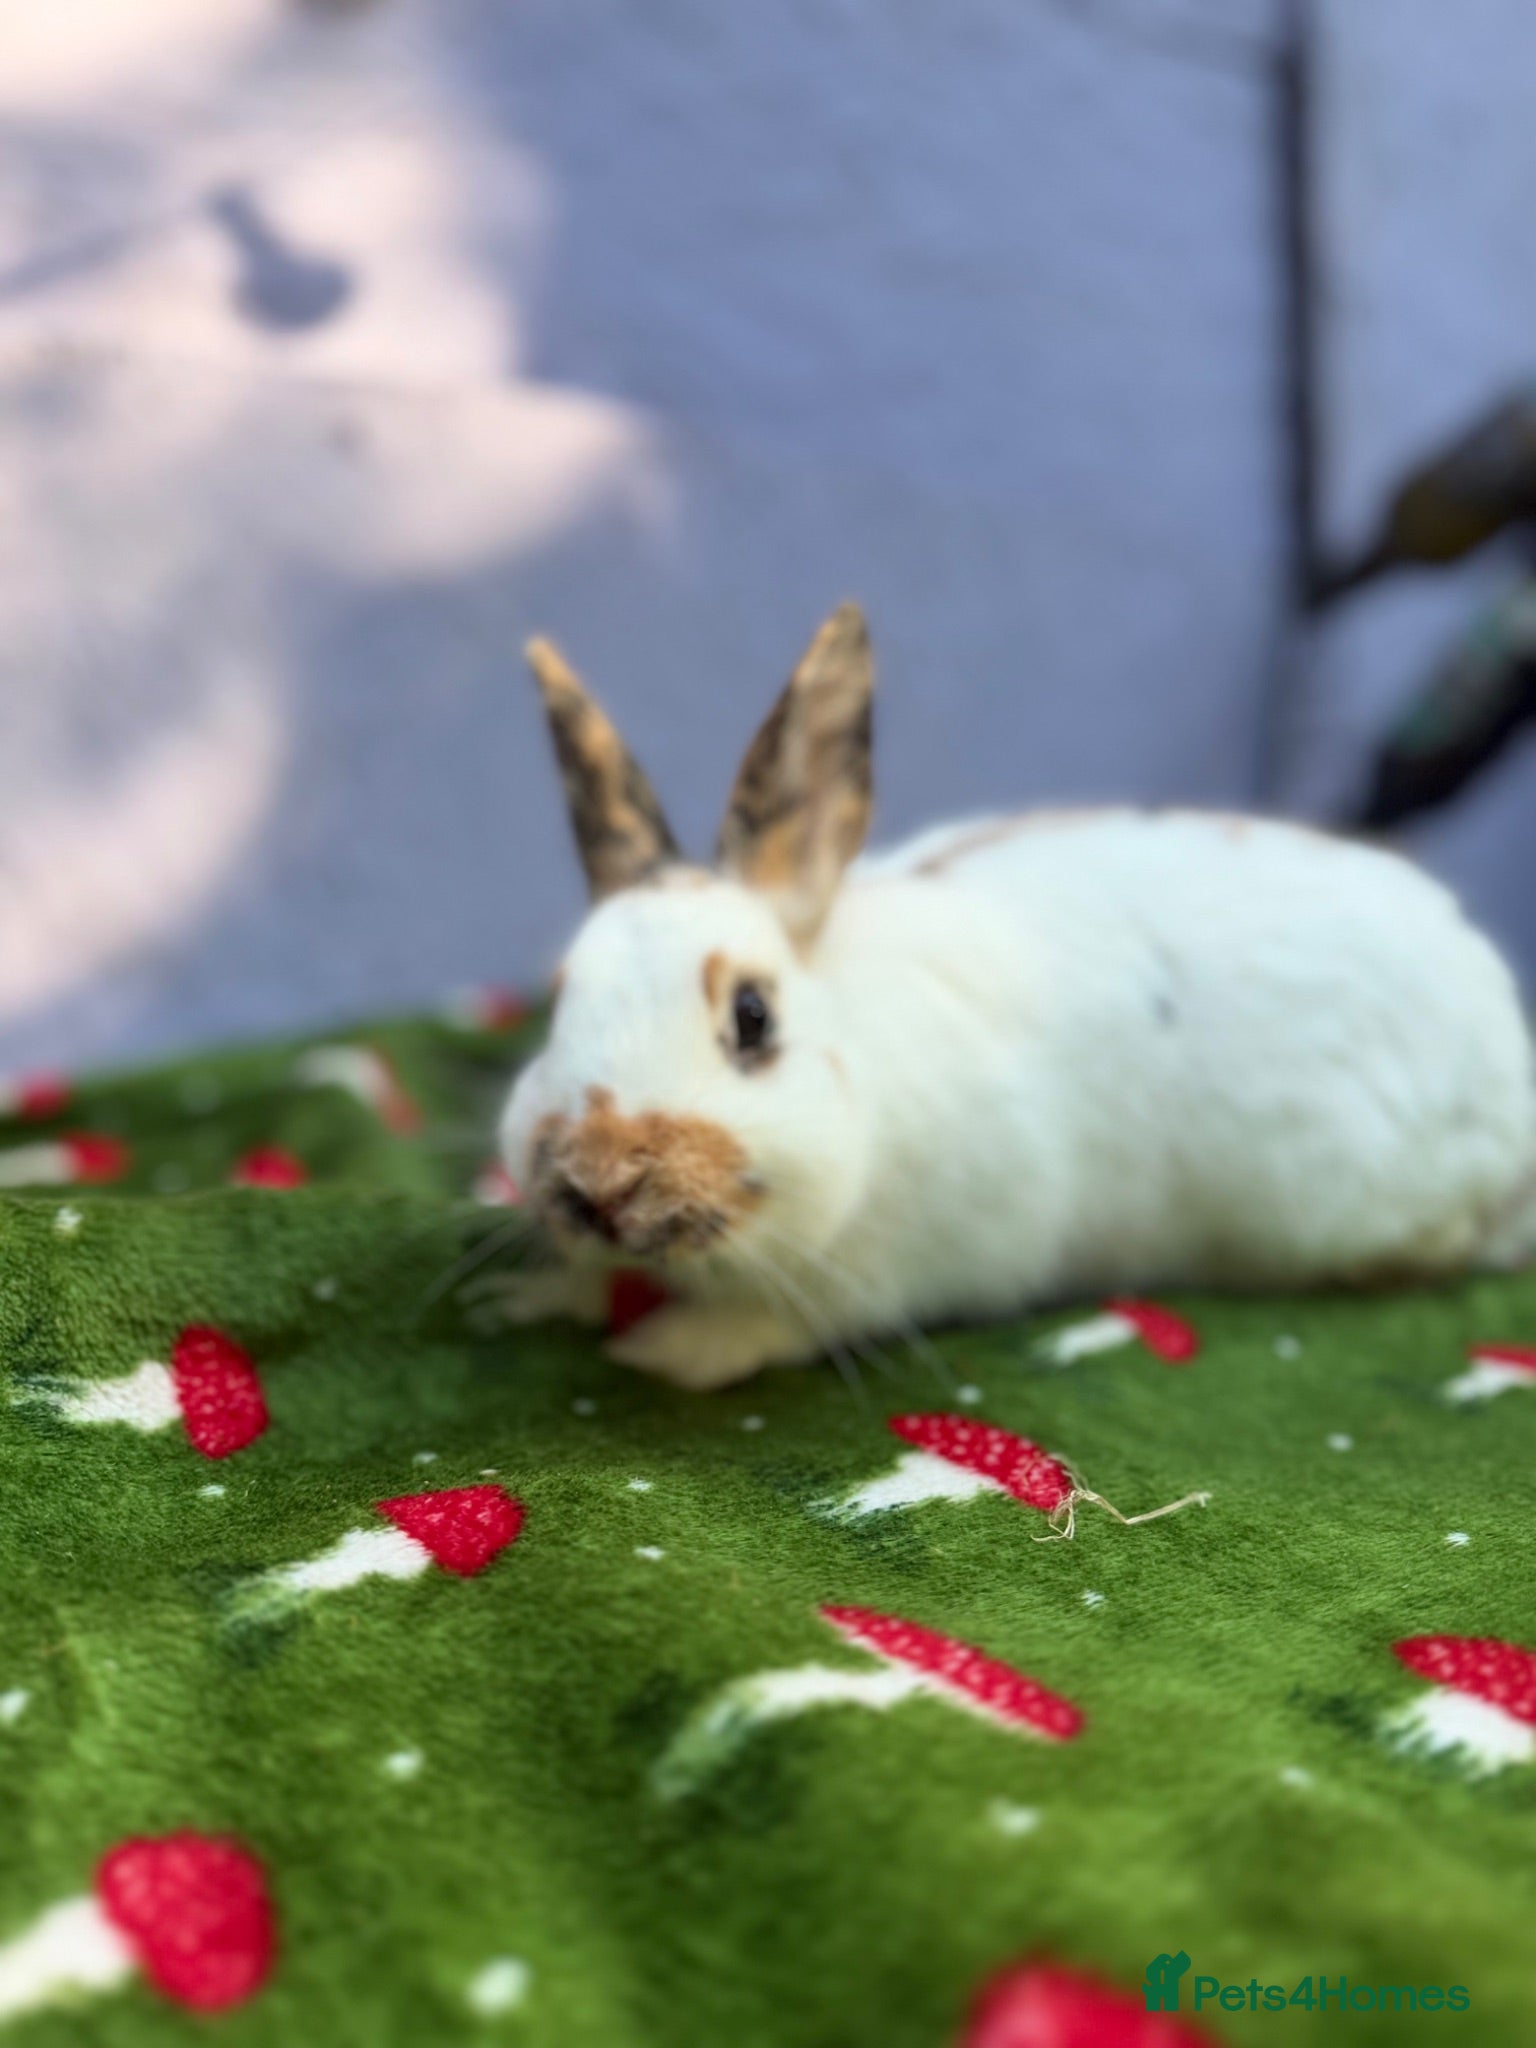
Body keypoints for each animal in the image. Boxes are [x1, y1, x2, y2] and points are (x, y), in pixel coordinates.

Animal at [494, 603, 1536, 1390]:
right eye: (559, 1008)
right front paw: (544, 1296)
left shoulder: (906, 1264)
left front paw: (665, 1351)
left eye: (753, 1019)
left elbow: (782, 1323)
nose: (599, 1185)